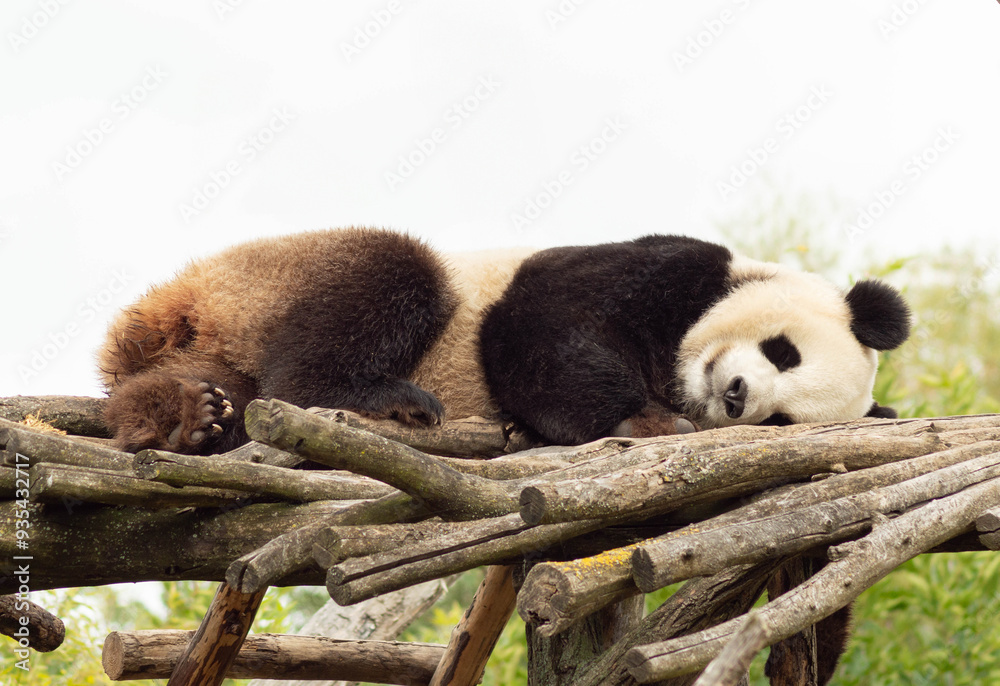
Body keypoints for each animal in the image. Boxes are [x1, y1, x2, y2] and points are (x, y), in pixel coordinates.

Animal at [99, 228, 910, 454]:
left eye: (782, 419)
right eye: (783, 351)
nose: (738, 398)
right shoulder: (667, 268)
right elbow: (542, 324)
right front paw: (645, 418)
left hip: (228, 331)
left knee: (221, 386)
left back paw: (180, 416)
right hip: (278, 272)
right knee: (391, 273)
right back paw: (387, 401)